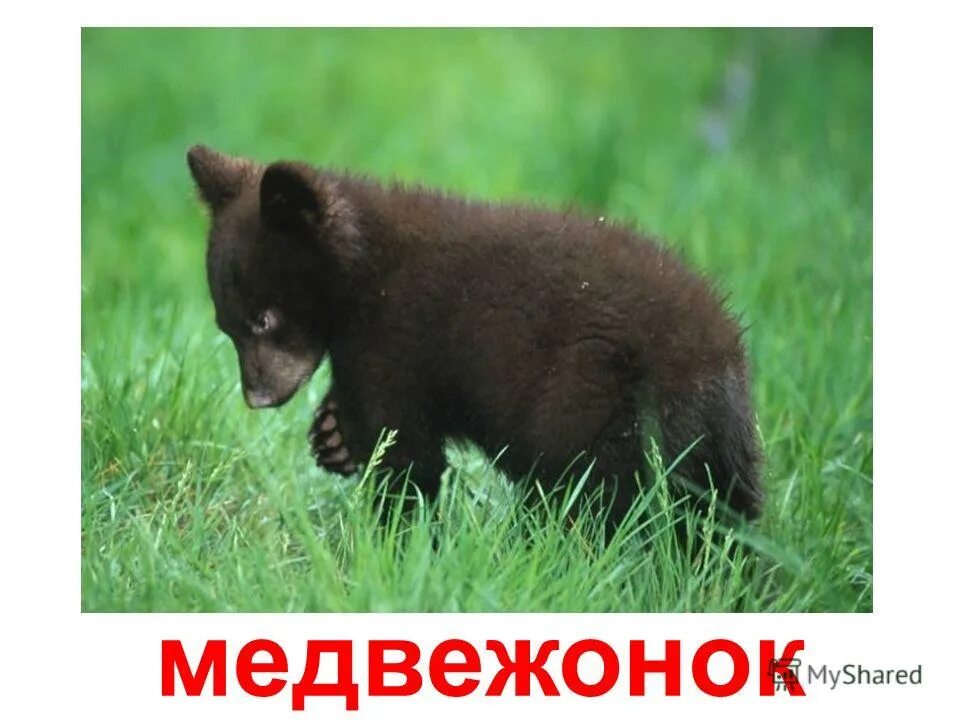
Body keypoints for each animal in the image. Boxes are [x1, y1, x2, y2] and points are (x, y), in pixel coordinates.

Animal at [186, 144, 764, 528]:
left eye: (264, 318)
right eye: (226, 326)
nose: (257, 397)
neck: (365, 271)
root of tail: (717, 366)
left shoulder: (397, 339)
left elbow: (406, 451)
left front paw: (396, 539)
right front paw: (333, 435)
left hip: (595, 401)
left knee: (593, 495)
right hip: (723, 449)